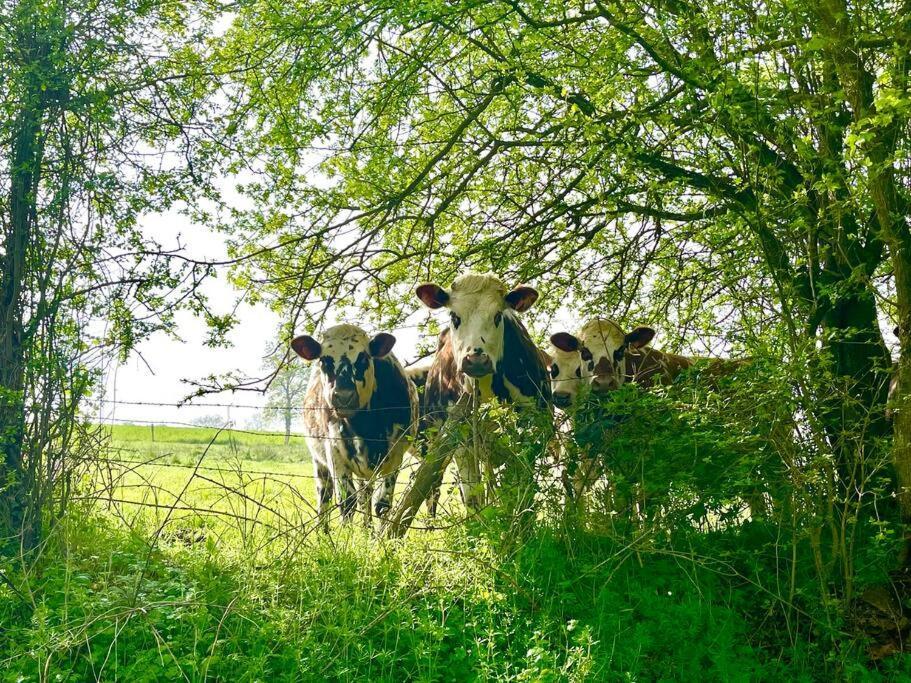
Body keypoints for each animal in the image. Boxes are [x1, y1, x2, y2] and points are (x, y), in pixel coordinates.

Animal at [292, 324, 420, 528]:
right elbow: (347, 502)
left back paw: (367, 529)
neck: (365, 426)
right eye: (324, 360)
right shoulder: (334, 452)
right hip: (319, 462)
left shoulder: (395, 455)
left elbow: (382, 504)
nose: (343, 396)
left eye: (364, 357)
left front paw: (381, 535)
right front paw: (346, 535)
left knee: (365, 496)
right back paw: (323, 531)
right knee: (325, 495)